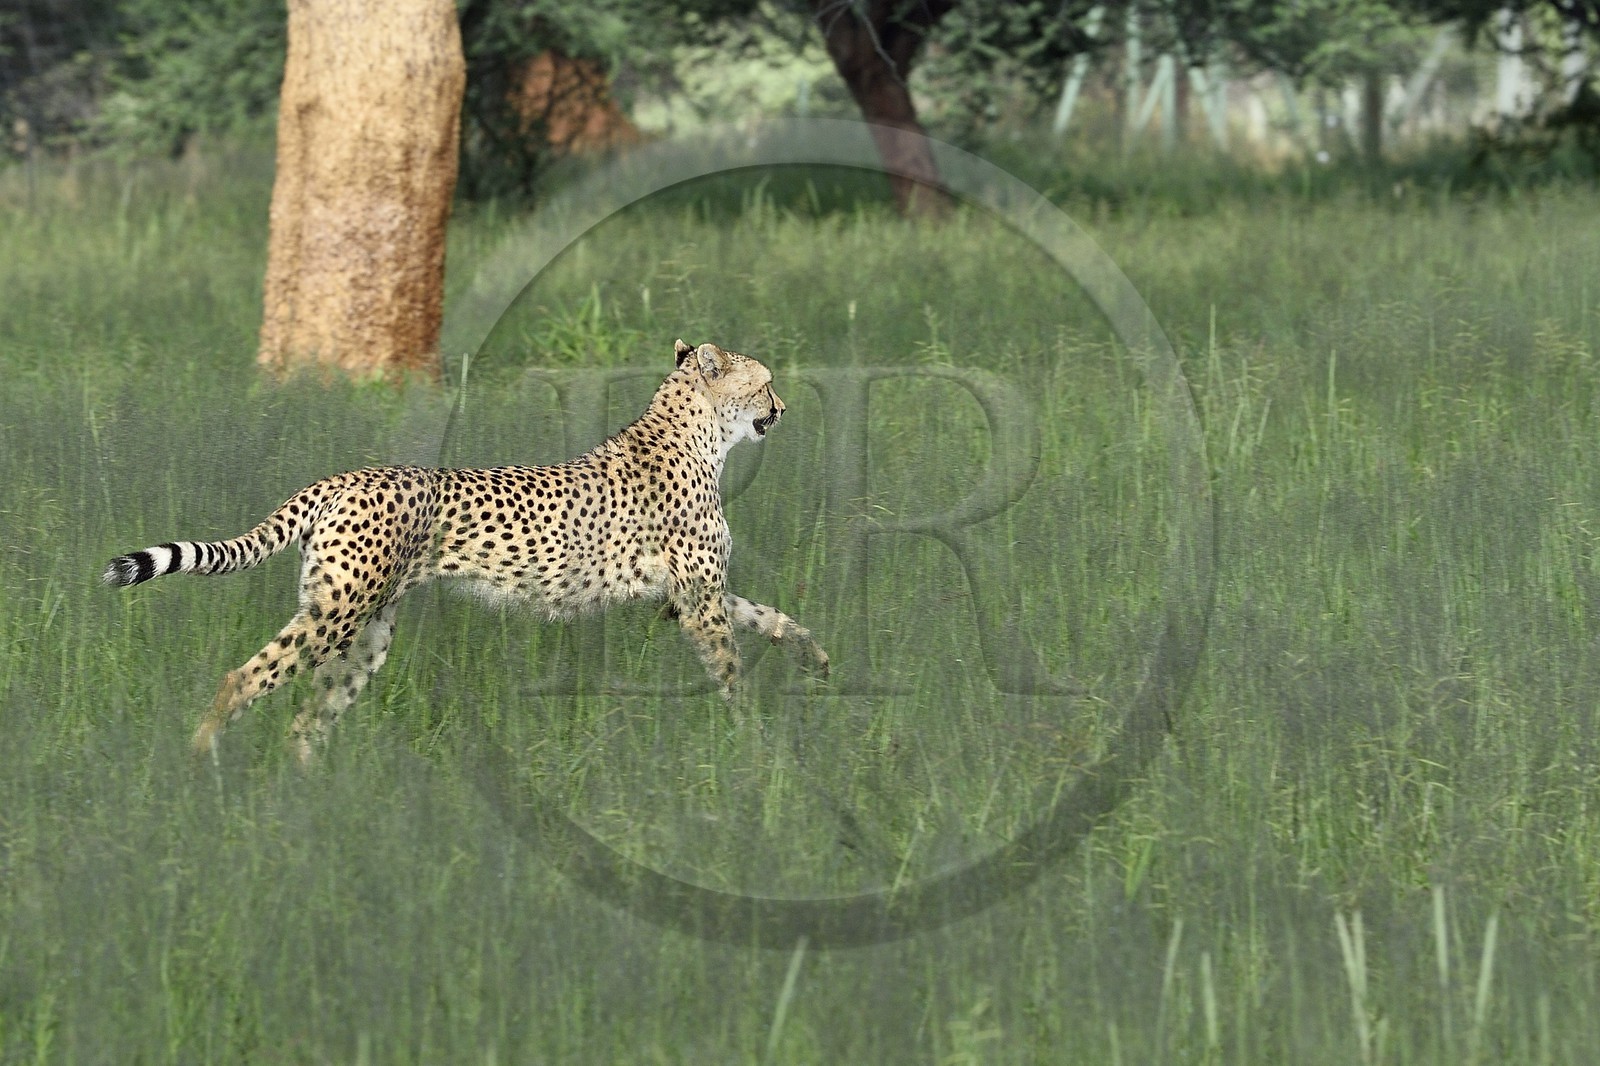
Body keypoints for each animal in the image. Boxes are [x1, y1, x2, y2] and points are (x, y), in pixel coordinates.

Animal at [103, 340, 830, 762]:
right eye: (766, 382)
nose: (783, 407)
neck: (696, 436)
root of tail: (342, 476)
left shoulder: (689, 596)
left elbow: (766, 616)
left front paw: (814, 657)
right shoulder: (697, 602)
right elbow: (731, 669)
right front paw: (753, 746)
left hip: (366, 632)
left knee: (307, 720)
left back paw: (305, 795)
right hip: (336, 615)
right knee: (246, 678)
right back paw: (199, 765)